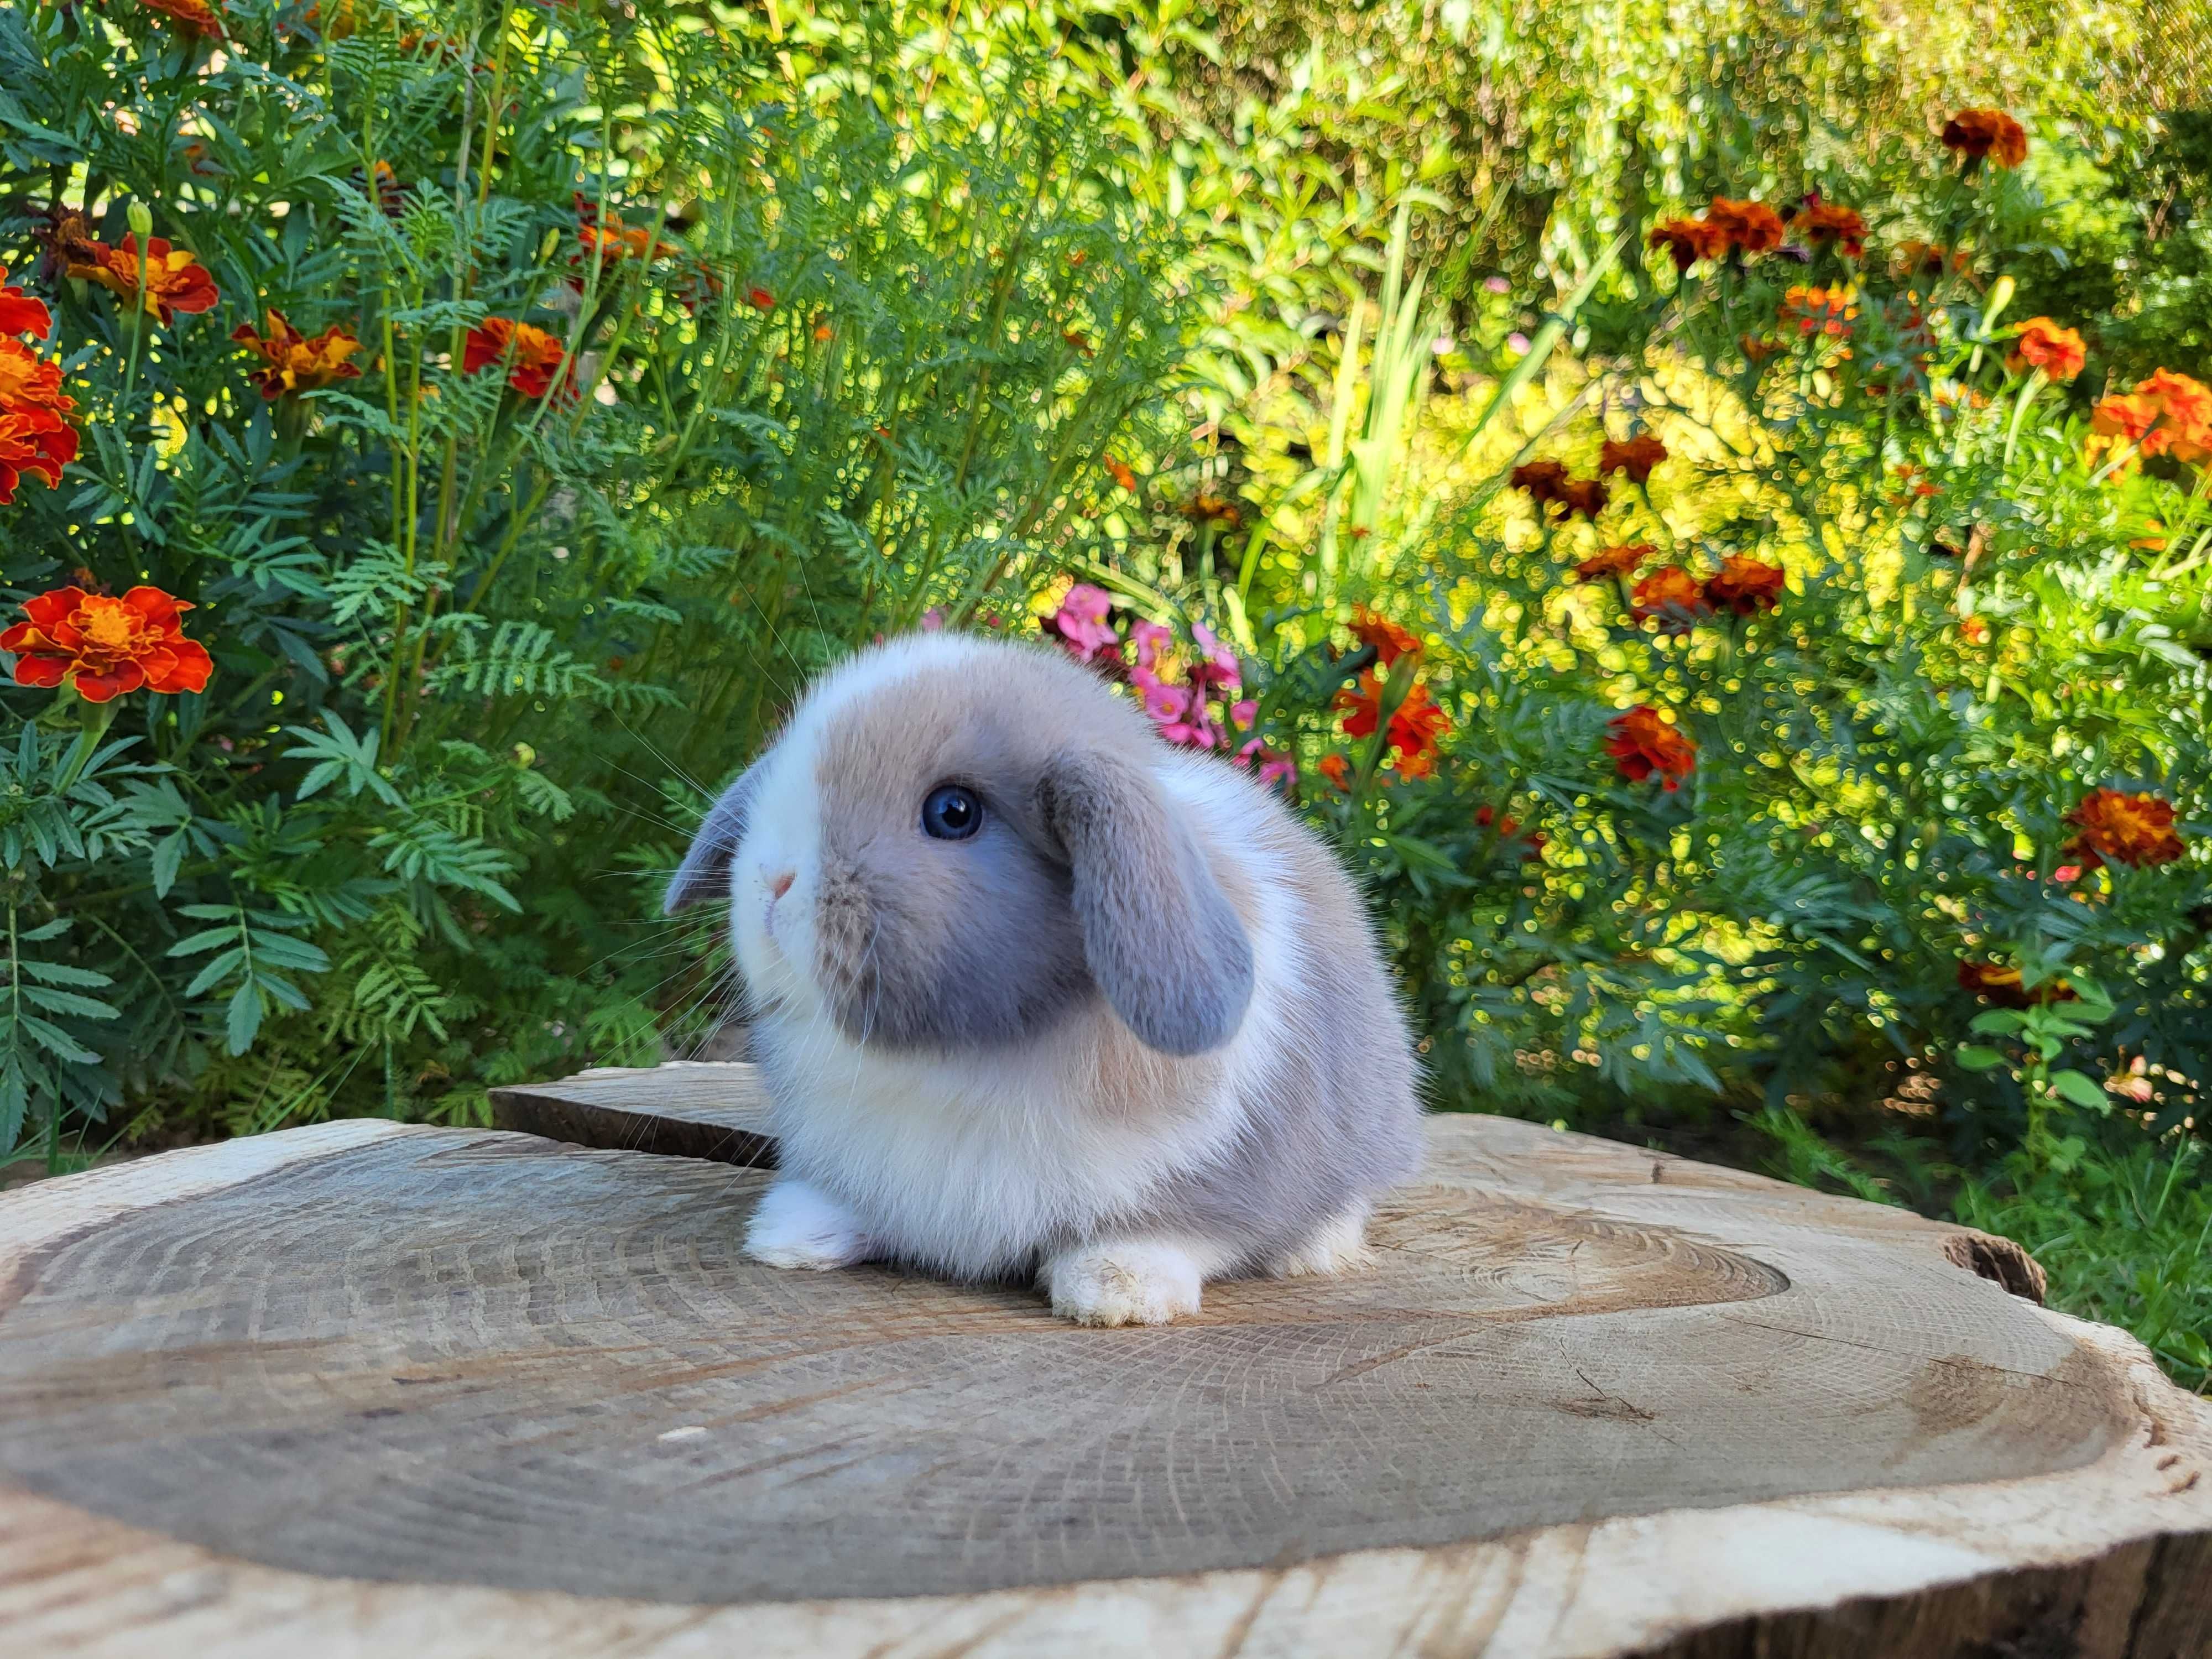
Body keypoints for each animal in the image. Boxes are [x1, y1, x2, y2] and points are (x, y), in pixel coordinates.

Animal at [664, 628, 1416, 1336]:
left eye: (953, 812)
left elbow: (1184, 1229)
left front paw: (1118, 1288)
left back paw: (1317, 1248)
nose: (772, 880)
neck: (965, 1057)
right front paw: (791, 1233)